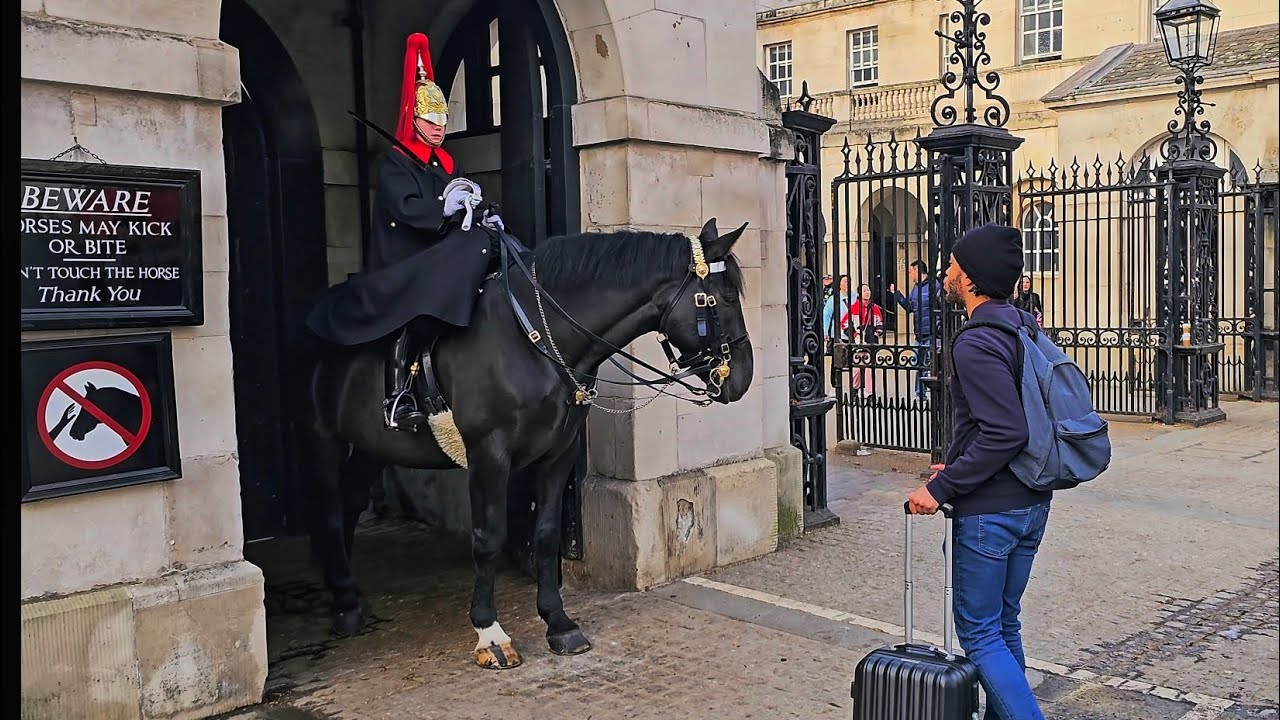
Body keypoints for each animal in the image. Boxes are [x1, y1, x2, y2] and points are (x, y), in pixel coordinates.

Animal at [297, 218, 755, 669]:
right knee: (332, 510)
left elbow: (547, 534)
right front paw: (489, 633)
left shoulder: (558, 454)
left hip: (372, 448)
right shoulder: (489, 456)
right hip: (323, 439)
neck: (535, 339)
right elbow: (488, 537)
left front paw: (558, 622)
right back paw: (343, 603)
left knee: (351, 503)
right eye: (725, 297)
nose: (743, 378)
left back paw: (347, 593)